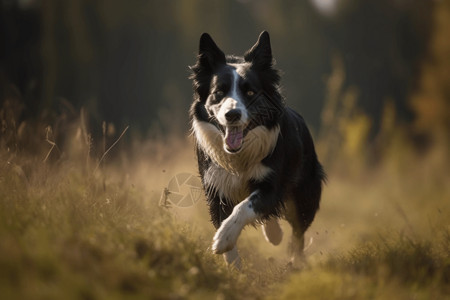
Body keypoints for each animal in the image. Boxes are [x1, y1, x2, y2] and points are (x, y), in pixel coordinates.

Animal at [188, 31, 326, 268]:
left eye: (250, 92)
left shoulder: (272, 185)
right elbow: (225, 217)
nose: (232, 115)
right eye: (219, 92)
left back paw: (294, 259)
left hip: (304, 194)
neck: (239, 155)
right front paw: (233, 264)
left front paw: (223, 239)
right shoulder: (215, 186)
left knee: (298, 231)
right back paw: (274, 234)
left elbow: (245, 207)